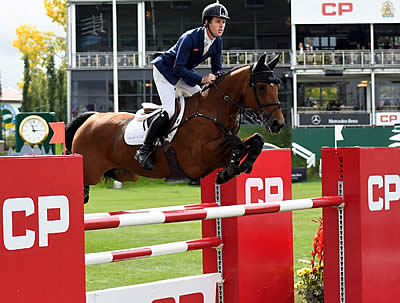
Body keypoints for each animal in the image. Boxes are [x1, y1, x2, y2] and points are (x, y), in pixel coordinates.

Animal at [65, 54, 284, 204]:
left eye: (277, 86)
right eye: (261, 87)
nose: (278, 124)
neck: (214, 111)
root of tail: (91, 118)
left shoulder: (215, 159)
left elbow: (255, 140)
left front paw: (237, 167)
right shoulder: (197, 159)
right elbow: (236, 142)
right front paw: (232, 168)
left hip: (123, 172)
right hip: (90, 172)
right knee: (83, 191)